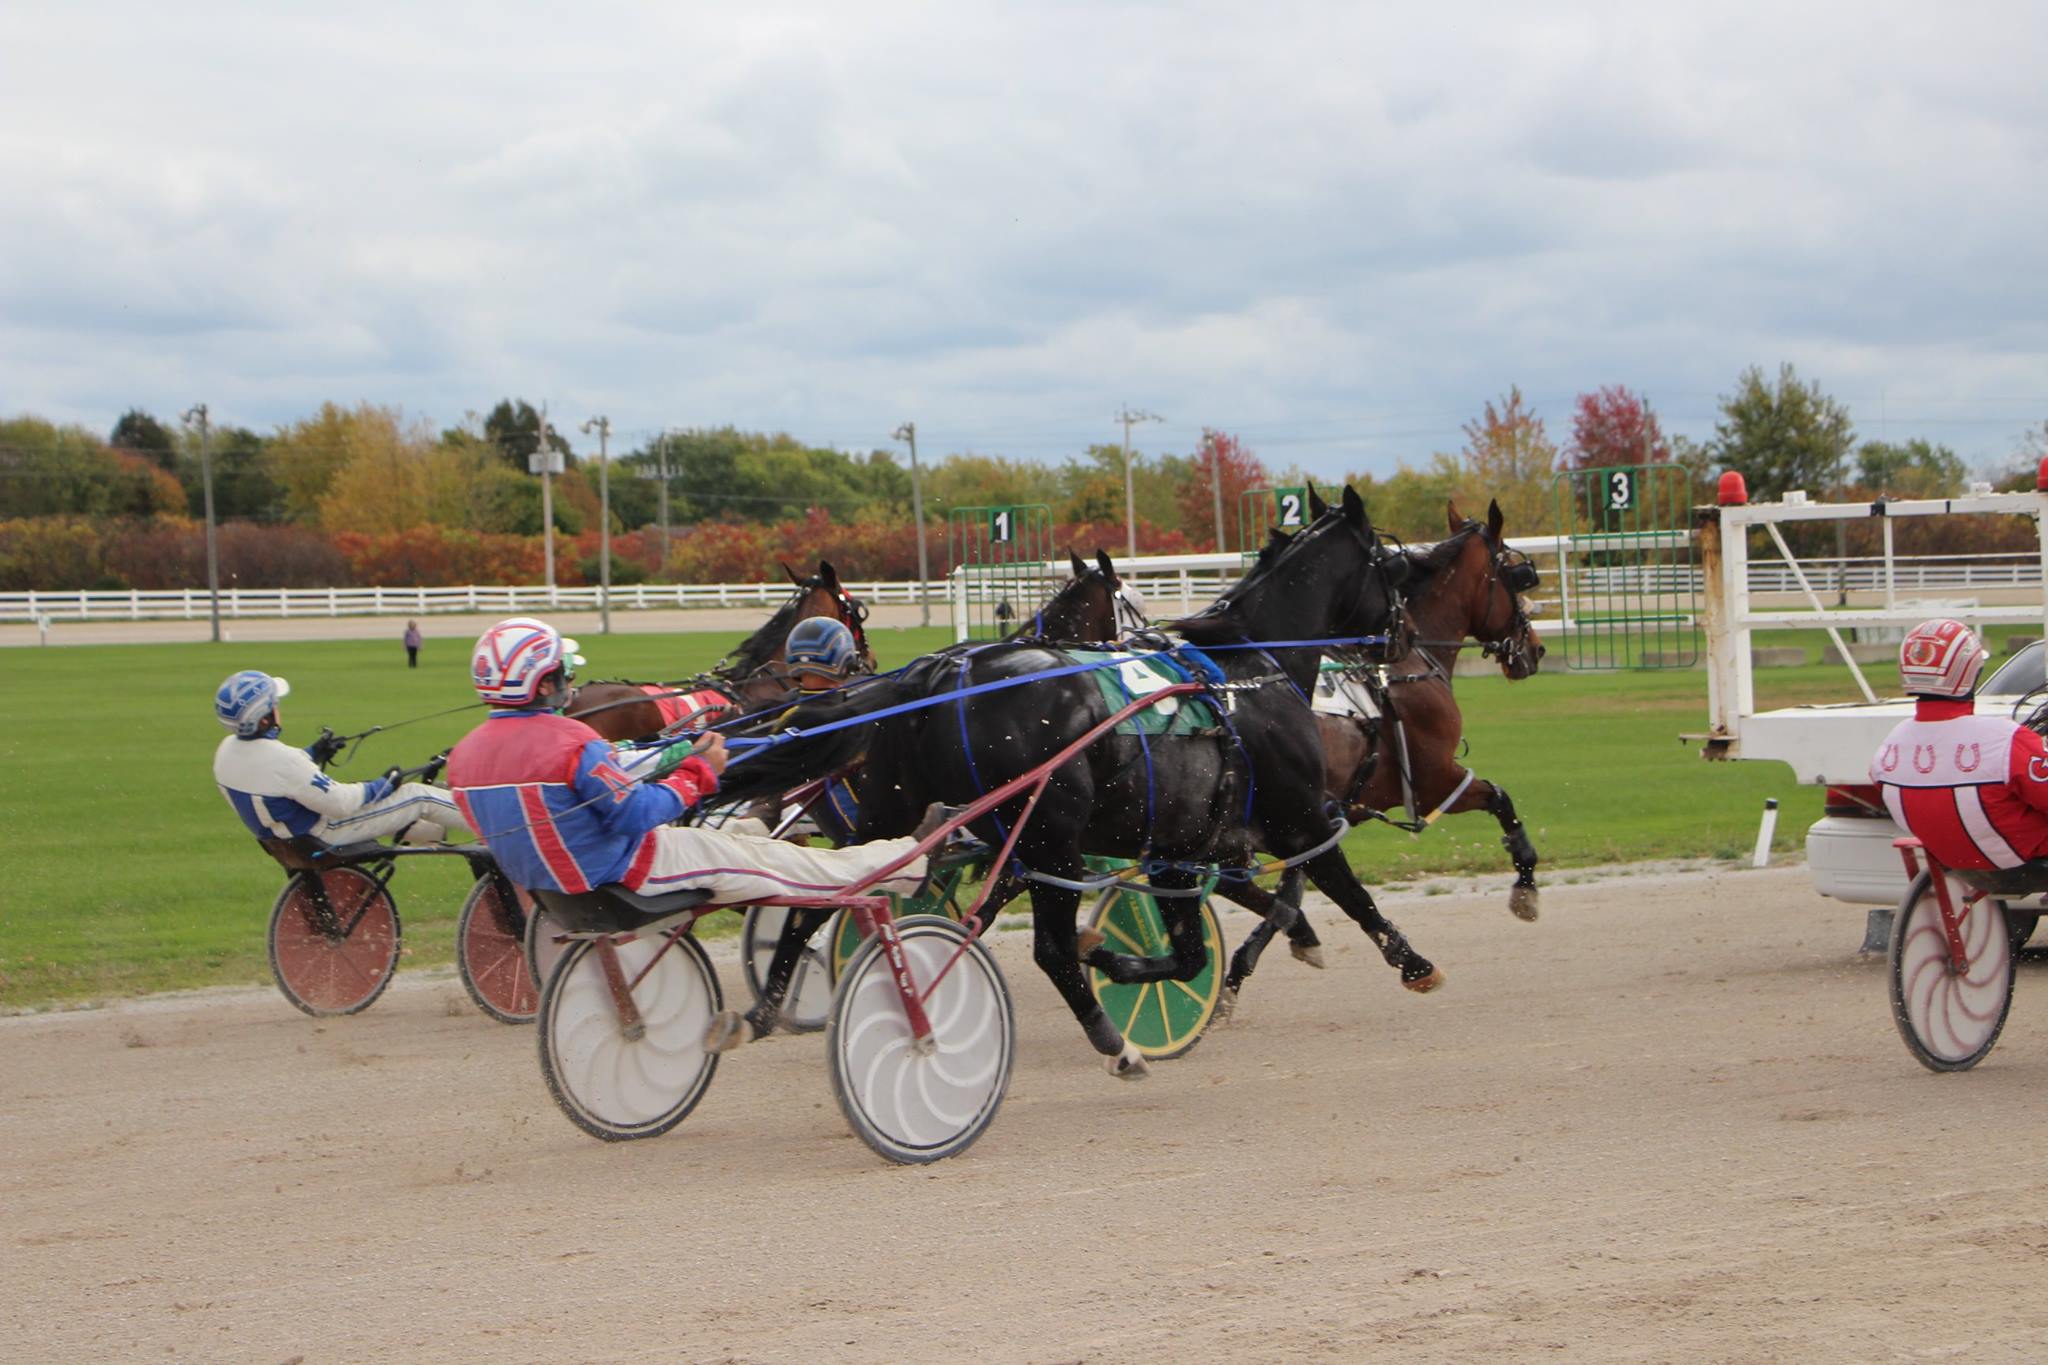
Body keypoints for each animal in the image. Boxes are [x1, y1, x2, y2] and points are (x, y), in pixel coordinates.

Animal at [720, 489, 1441, 1080]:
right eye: (1390, 565)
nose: (1405, 634)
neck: (1247, 672)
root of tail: (935, 675)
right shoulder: (1298, 818)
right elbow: (1346, 892)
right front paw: (1415, 964)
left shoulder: (1174, 849)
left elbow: (1198, 944)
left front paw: (1130, 961)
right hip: (1053, 840)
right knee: (1051, 952)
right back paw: (1113, 1042)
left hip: (900, 819)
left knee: (814, 906)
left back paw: (762, 1011)